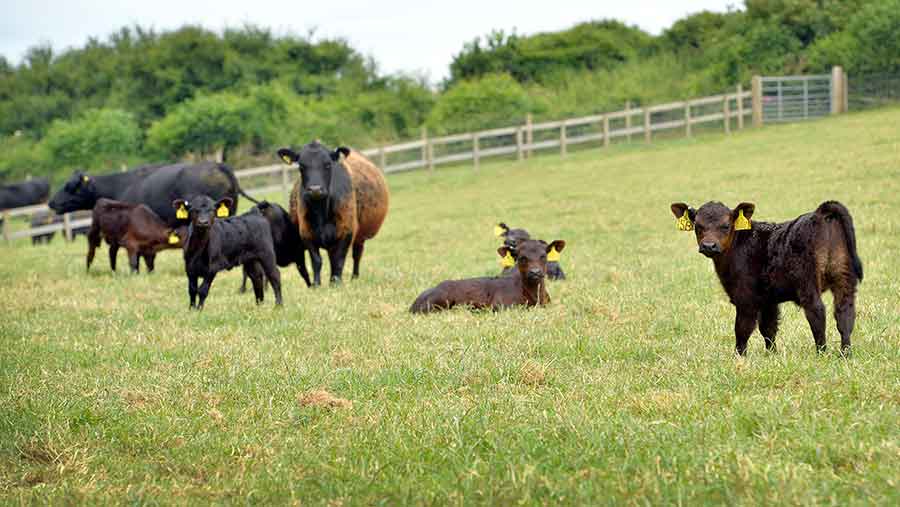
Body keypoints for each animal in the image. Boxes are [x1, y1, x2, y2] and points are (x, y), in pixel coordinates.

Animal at [278, 142, 390, 286]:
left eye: (327, 164)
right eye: (301, 166)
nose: (315, 189)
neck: (322, 213)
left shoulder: (347, 232)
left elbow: (339, 260)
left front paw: (337, 283)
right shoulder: (306, 234)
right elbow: (317, 261)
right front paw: (317, 285)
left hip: (359, 236)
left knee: (357, 254)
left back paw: (354, 277)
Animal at [672, 200, 860, 356]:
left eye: (726, 226)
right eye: (698, 226)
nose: (708, 246)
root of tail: (819, 213)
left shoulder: (745, 298)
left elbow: (742, 329)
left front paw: (739, 357)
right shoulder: (769, 300)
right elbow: (768, 328)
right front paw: (772, 354)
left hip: (808, 283)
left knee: (817, 313)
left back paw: (821, 353)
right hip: (844, 279)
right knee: (844, 314)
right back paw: (845, 354)